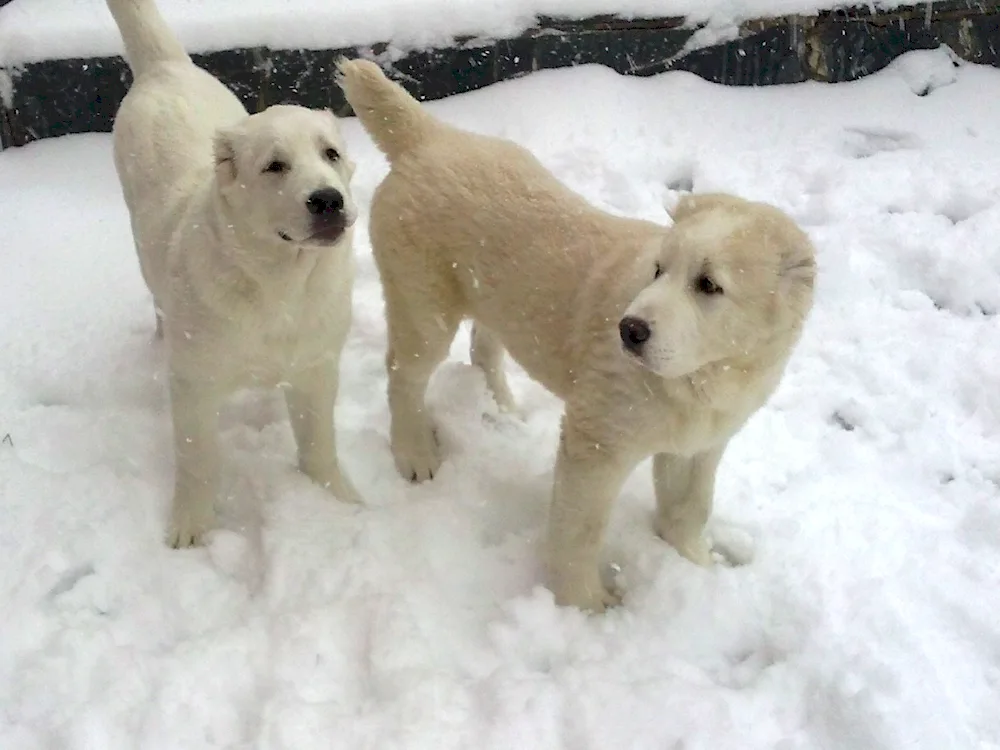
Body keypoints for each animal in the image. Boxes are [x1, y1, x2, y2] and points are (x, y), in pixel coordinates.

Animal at [107, 1, 364, 552]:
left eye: (330, 154)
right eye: (274, 166)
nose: (328, 200)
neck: (279, 286)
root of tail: (166, 67)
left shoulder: (317, 368)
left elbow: (319, 443)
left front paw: (338, 498)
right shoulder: (193, 384)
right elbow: (197, 458)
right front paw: (191, 525)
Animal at [336, 57, 812, 612]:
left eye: (709, 285)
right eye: (658, 270)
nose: (629, 329)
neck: (704, 380)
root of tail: (428, 136)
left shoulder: (699, 445)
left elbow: (689, 508)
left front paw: (696, 566)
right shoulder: (598, 442)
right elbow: (580, 528)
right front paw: (586, 603)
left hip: (491, 294)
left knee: (484, 347)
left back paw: (504, 410)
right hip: (422, 304)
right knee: (404, 375)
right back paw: (415, 453)